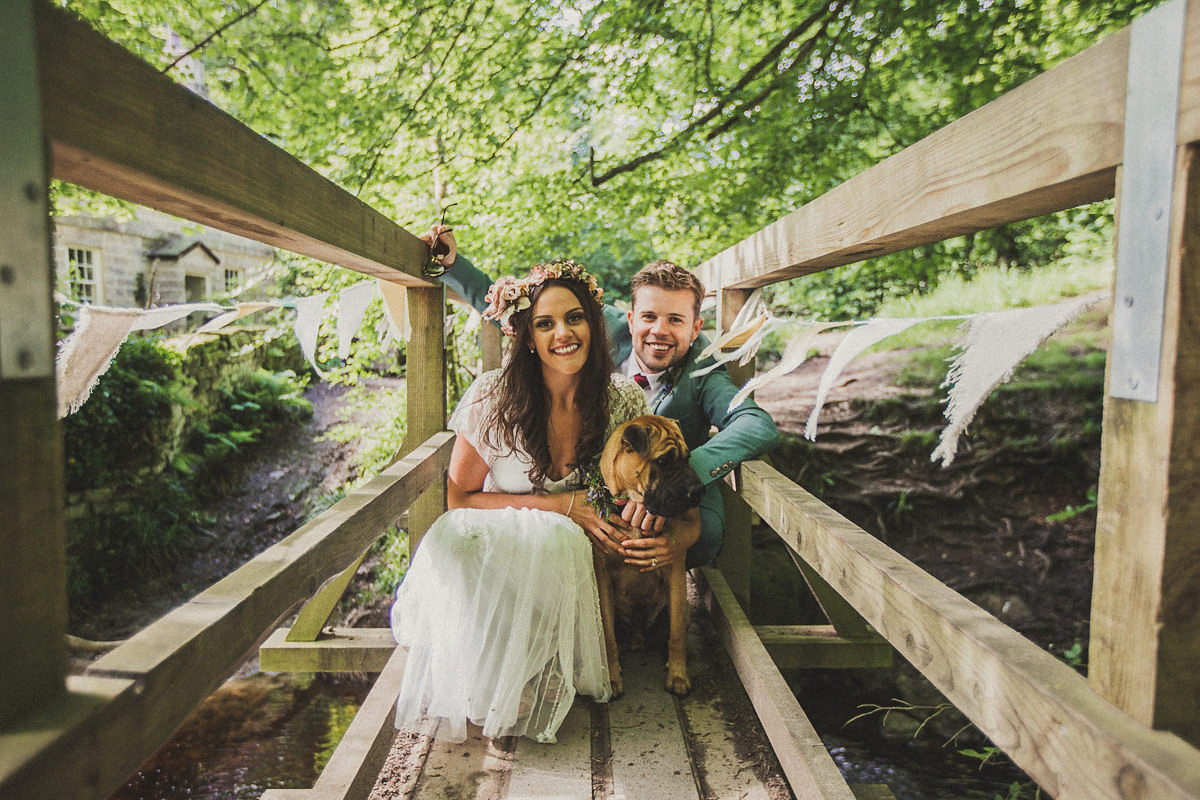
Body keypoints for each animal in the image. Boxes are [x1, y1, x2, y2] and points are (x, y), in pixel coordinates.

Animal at [597, 417, 705, 695]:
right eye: (664, 460)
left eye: (688, 457)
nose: (699, 490)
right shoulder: (602, 579)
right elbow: (607, 636)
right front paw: (611, 678)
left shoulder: (675, 573)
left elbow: (677, 636)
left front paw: (678, 675)